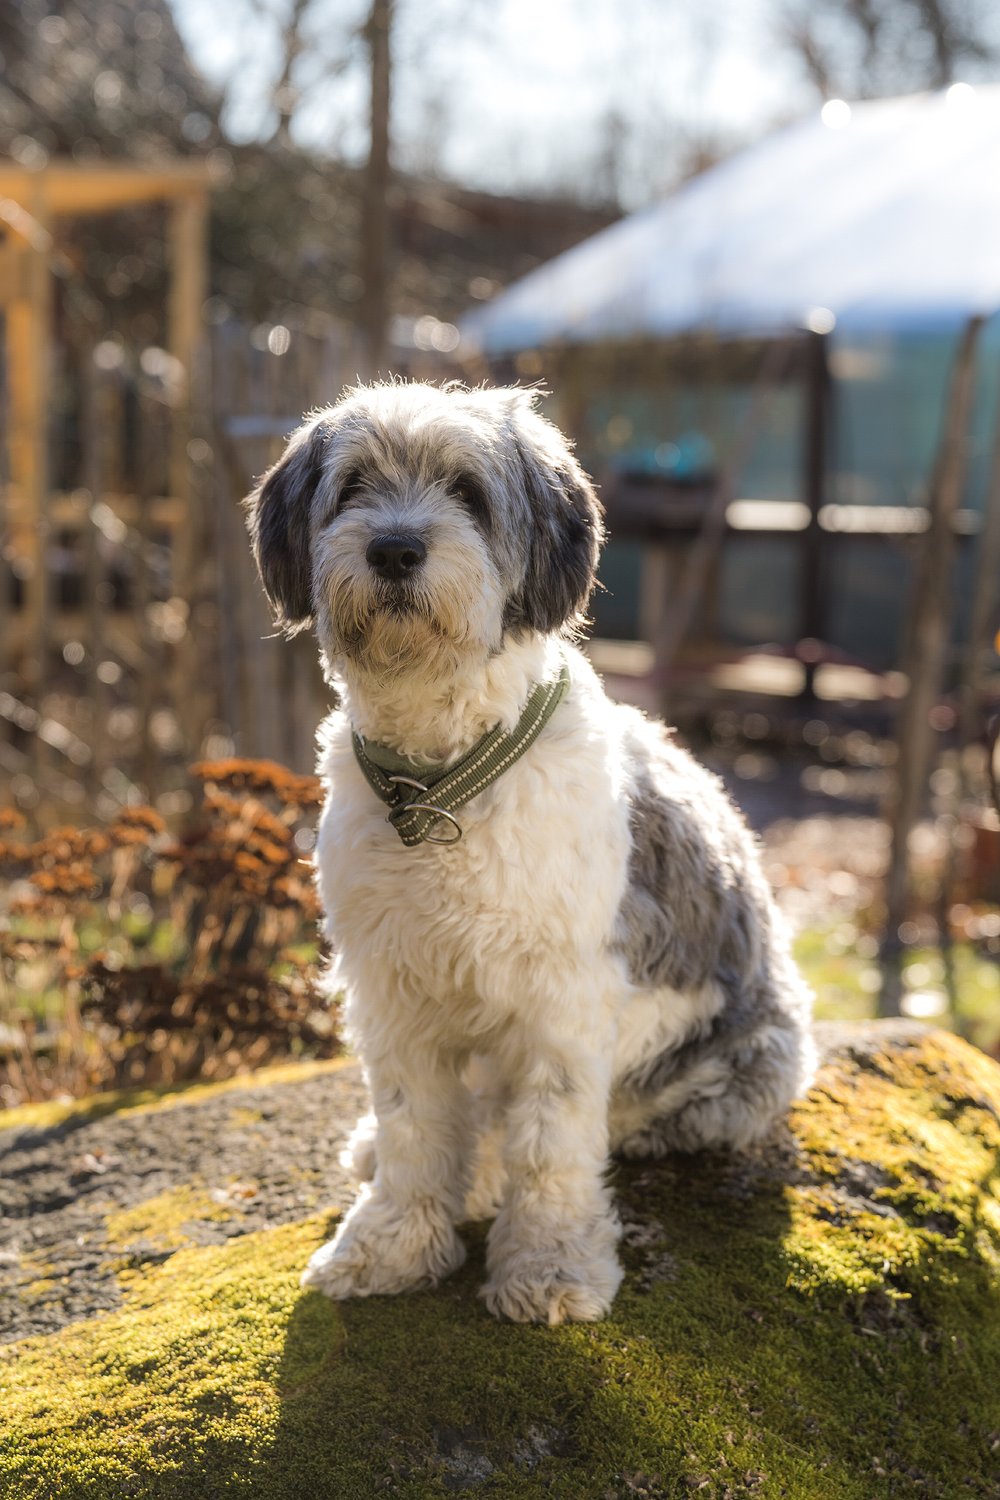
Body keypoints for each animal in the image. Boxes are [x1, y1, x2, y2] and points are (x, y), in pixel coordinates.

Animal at [245, 378, 815, 1326]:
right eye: (353, 487)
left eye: (469, 493)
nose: (395, 548)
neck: (440, 784)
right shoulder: (391, 986)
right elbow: (413, 1125)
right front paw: (392, 1247)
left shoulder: (563, 996)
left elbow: (550, 1140)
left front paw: (547, 1268)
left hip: (753, 1063)